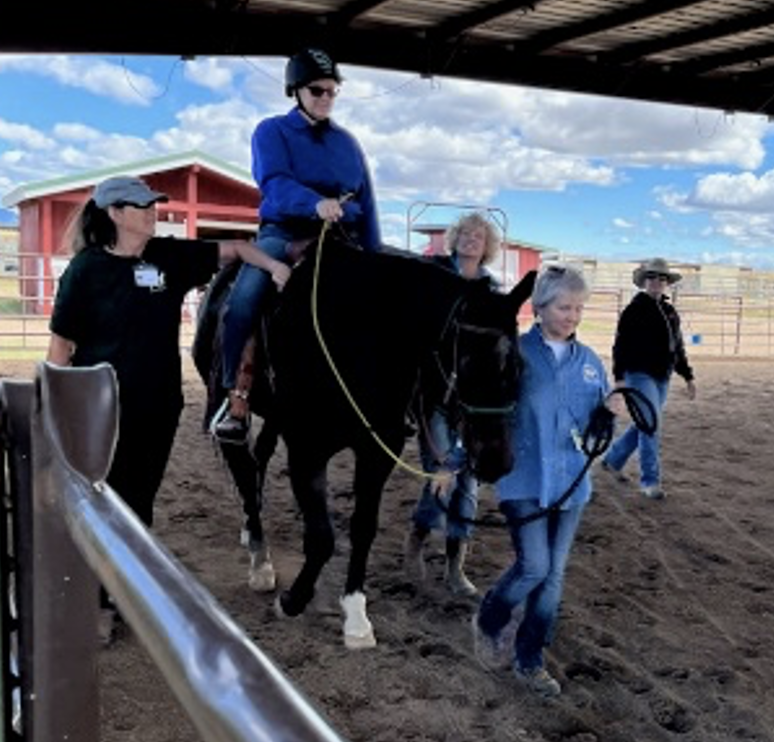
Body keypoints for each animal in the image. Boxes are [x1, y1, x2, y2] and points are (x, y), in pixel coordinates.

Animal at [196, 234, 532, 652]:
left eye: (519, 366)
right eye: (467, 364)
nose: (496, 460)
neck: (359, 337)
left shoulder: (377, 453)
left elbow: (363, 529)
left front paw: (355, 614)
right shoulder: (307, 450)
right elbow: (322, 537)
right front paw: (293, 599)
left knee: (258, 460)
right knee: (242, 467)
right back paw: (260, 560)